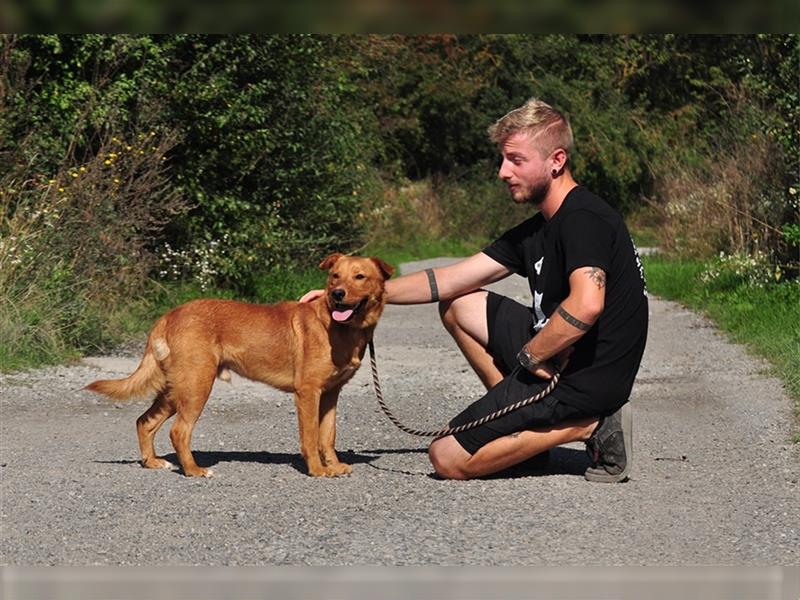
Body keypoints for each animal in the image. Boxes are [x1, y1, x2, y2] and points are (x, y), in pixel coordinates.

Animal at [85, 253, 394, 478]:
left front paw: (334, 465)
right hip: (196, 386)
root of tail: (170, 315)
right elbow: (310, 437)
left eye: (360, 276)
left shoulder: (330, 394)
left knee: (145, 421)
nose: (338, 294)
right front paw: (318, 470)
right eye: (334, 276)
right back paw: (194, 470)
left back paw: (153, 463)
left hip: (176, 388)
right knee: (178, 431)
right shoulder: (307, 392)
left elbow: (327, 436)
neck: (339, 326)